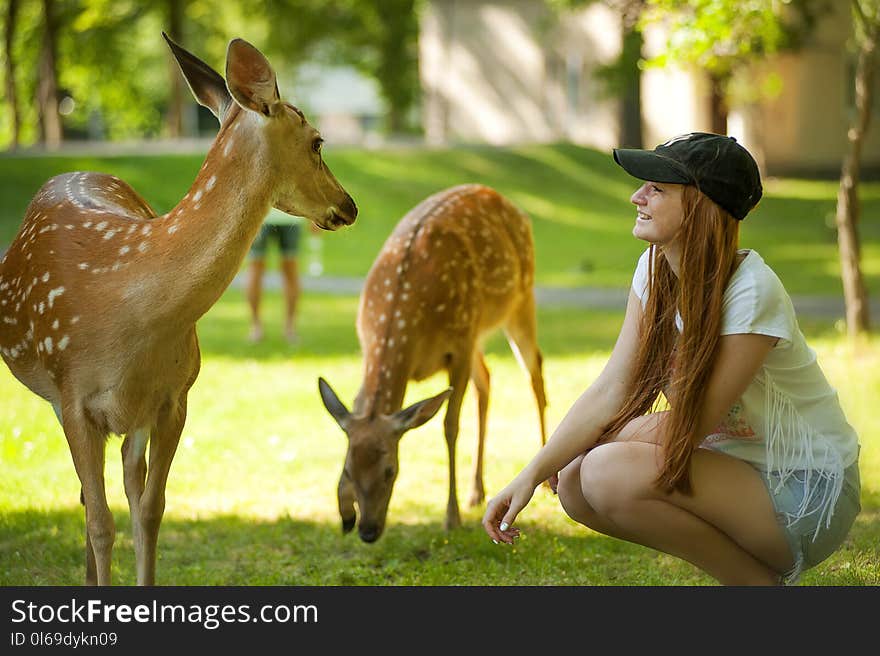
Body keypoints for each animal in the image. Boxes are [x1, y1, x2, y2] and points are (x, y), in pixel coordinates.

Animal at [0, 34, 358, 584]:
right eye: (318, 141)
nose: (349, 205)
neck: (129, 308)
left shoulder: (175, 398)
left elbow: (151, 510)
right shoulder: (74, 395)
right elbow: (101, 521)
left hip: (133, 413)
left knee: (127, 481)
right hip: (61, 398)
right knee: (88, 498)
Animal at [320, 184, 548, 544]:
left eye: (390, 470)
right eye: (347, 470)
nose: (367, 531)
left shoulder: (459, 347)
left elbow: (449, 426)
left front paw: (451, 518)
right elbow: (355, 407)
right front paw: (344, 513)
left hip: (519, 300)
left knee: (533, 371)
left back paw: (543, 479)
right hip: (478, 329)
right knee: (487, 379)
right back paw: (476, 491)